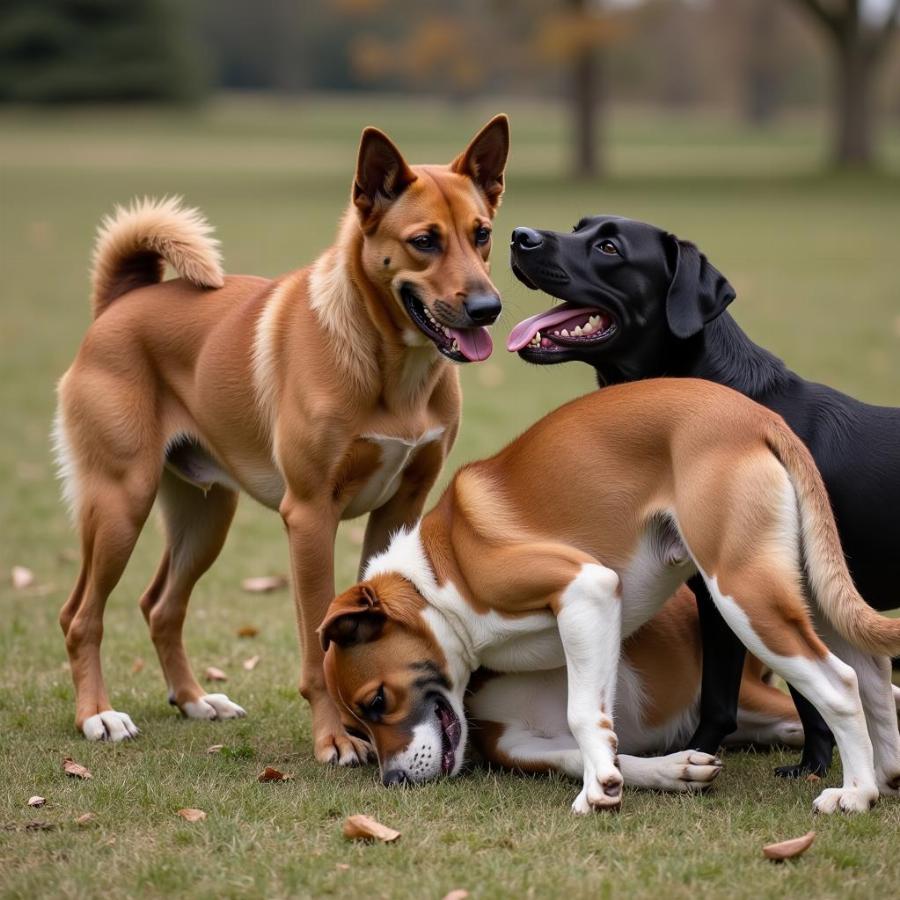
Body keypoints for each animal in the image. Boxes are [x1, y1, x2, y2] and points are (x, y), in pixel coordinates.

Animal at [52, 114, 510, 760]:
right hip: (121, 503)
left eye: (482, 233)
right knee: (80, 616)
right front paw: (335, 738)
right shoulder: (310, 516)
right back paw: (97, 714)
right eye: (425, 240)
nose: (489, 308)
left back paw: (195, 701)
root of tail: (120, 302)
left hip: (205, 515)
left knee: (161, 606)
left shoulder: (400, 508)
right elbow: (318, 647)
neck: (389, 370)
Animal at [510, 214, 896, 776]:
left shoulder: (745, 598)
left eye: (609, 247)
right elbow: (729, 695)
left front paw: (809, 765)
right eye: (579, 226)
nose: (518, 236)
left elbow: (782, 697)